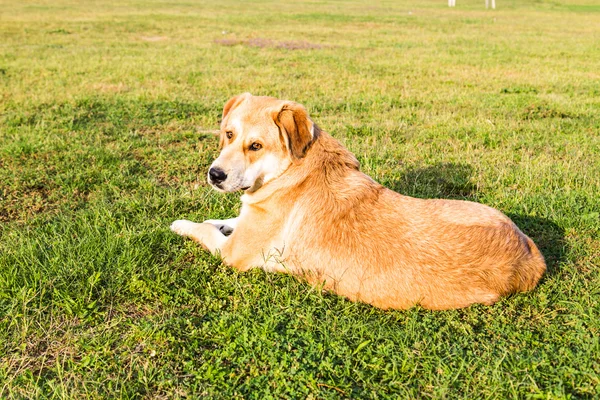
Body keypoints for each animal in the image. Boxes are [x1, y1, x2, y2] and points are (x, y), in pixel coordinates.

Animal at [171, 93, 548, 310]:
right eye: (228, 134)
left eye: (256, 146)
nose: (214, 174)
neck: (294, 168)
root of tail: (530, 257)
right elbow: (226, 220)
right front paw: (217, 219)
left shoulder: (233, 254)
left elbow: (205, 231)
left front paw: (183, 224)